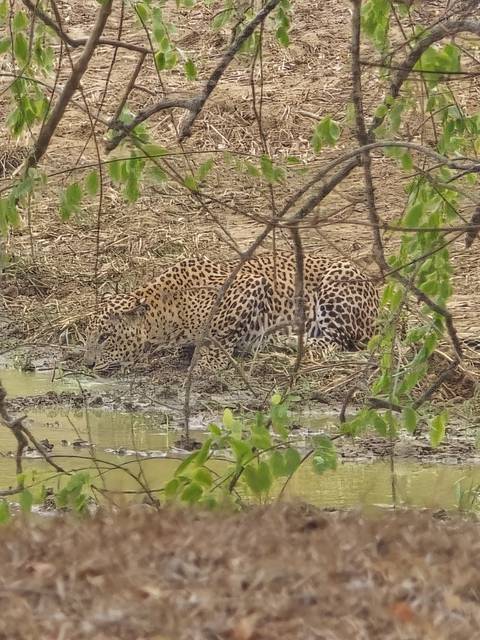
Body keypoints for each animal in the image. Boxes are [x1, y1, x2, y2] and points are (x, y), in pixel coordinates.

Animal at [83, 252, 379, 374]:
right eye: (88, 337)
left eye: (105, 337)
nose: (87, 364)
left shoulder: (249, 285)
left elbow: (220, 333)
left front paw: (207, 363)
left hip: (336, 283)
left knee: (334, 343)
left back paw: (284, 344)